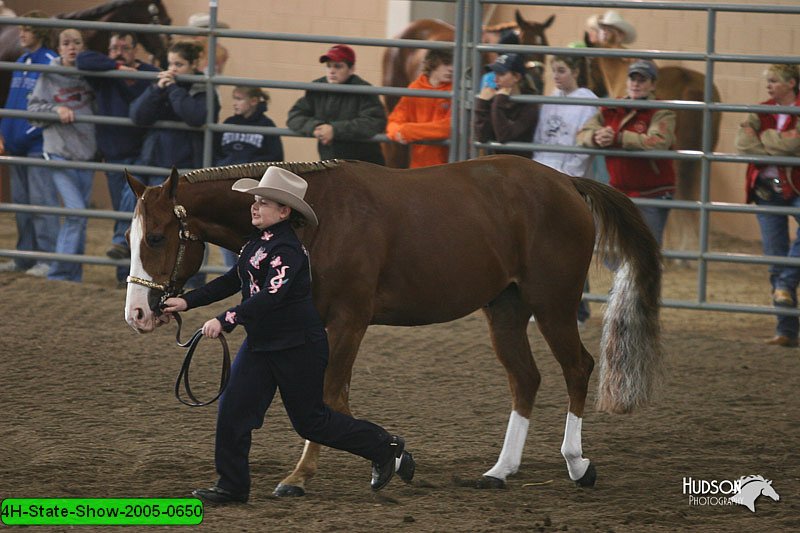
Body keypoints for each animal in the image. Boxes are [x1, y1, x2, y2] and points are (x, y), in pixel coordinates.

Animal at [123, 154, 664, 494]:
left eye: (155, 237)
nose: (139, 313)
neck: (317, 219)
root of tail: (565, 183)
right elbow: (326, 400)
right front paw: (392, 459)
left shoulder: (350, 319)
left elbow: (326, 397)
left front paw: (301, 478)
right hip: (506, 308)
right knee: (525, 379)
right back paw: (499, 471)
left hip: (553, 303)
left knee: (577, 368)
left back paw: (578, 465)